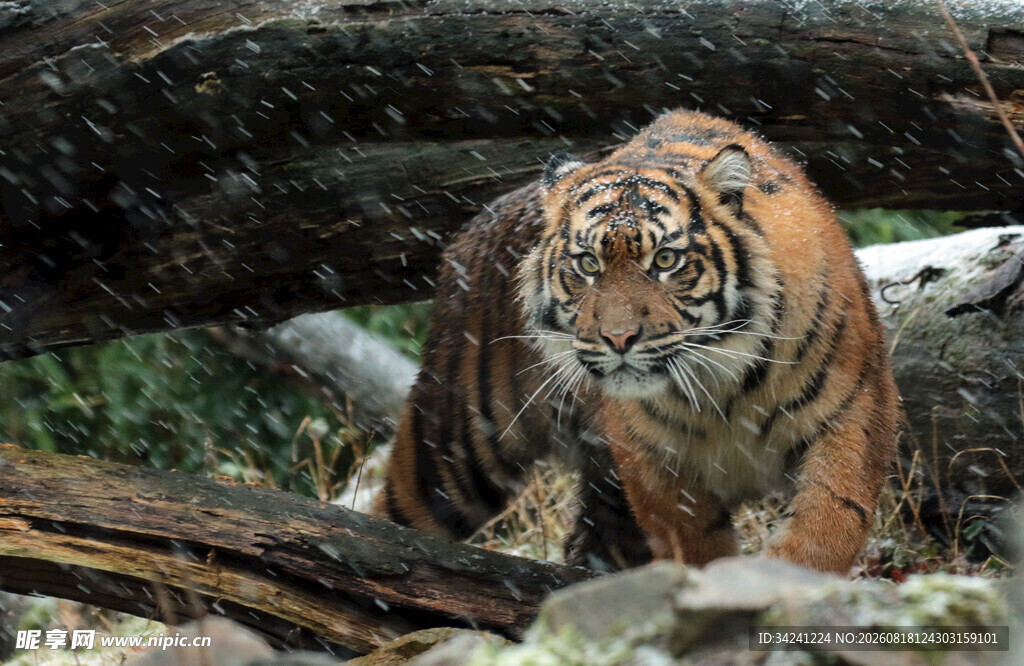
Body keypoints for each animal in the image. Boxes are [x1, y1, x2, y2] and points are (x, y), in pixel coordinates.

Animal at [374, 109, 899, 575]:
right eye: (588, 264)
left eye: (665, 260)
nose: (619, 337)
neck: (722, 387)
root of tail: (470, 227)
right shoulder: (649, 458)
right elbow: (693, 541)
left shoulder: (855, 410)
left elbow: (827, 524)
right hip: (456, 444)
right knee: (395, 516)